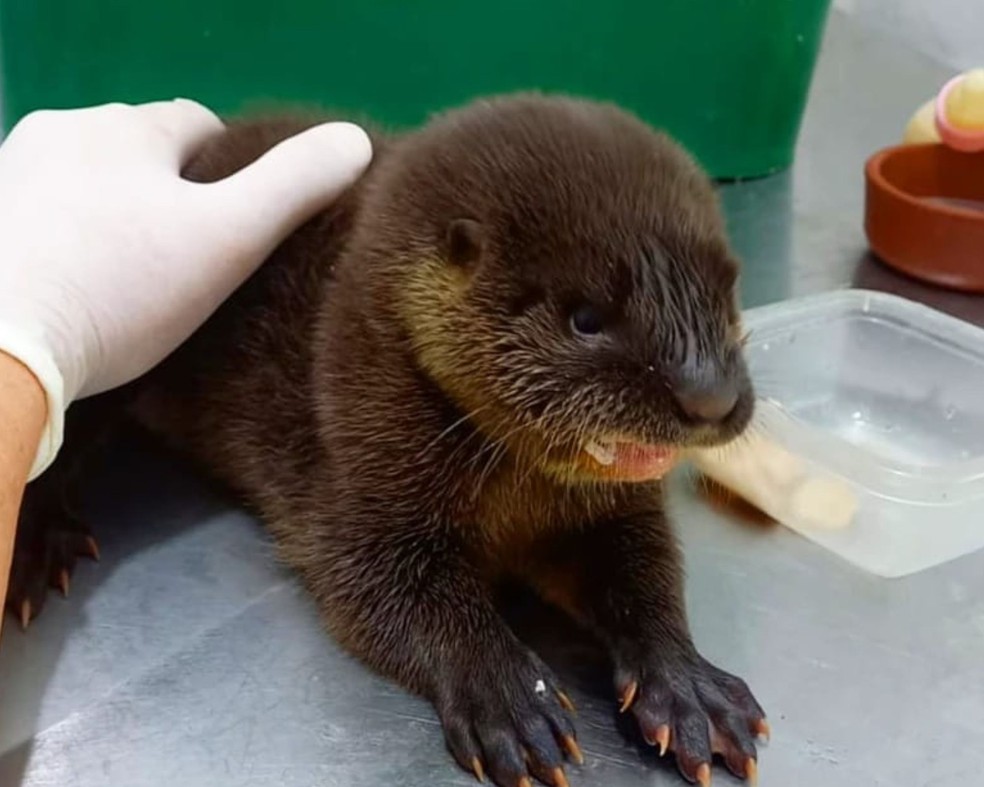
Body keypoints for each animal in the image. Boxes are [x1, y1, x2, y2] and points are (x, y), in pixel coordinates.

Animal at [9, 95, 768, 787]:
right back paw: (36, 543)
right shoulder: (360, 464)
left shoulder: (611, 509)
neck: (513, 494)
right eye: (585, 318)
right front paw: (509, 699)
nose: (709, 396)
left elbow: (646, 567)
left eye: (728, 297)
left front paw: (688, 686)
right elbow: (382, 586)